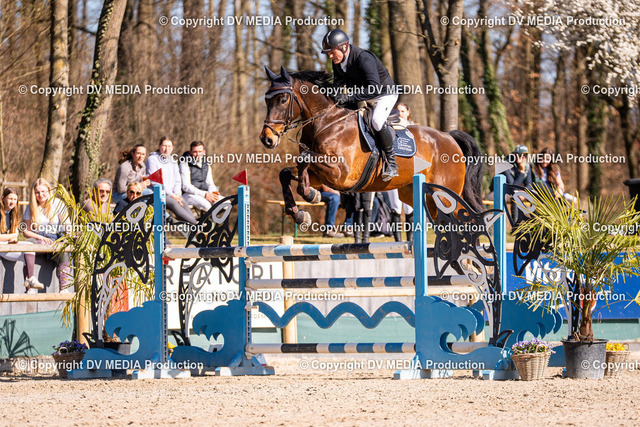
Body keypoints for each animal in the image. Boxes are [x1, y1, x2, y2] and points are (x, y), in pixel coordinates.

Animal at [259, 66, 484, 228]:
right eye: (266, 100)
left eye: (283, 99)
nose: (266, 139)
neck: (324, 121)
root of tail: (449, 137)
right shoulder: (322, 175)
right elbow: (287, 173)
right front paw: (300, 213)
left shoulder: (341, 173)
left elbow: (304, 158)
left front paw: (309, 195)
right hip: (418, 195)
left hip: (446, 196)